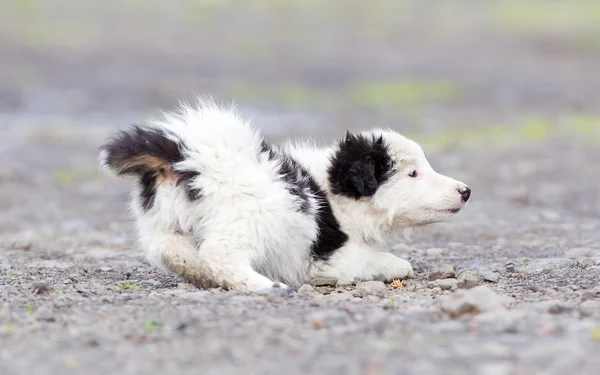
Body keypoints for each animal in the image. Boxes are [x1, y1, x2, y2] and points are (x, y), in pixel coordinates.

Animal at [98, 98, 472, 292]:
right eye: (412, 173)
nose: (466, 191)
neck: (332, 190)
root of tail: (180, 153)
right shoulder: (329, 254)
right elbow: (383, 261)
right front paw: (393, 265)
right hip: (254, 213)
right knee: (220, 255)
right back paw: (262, 285)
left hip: (163, 220)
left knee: (170, 249)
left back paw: (198, 271)